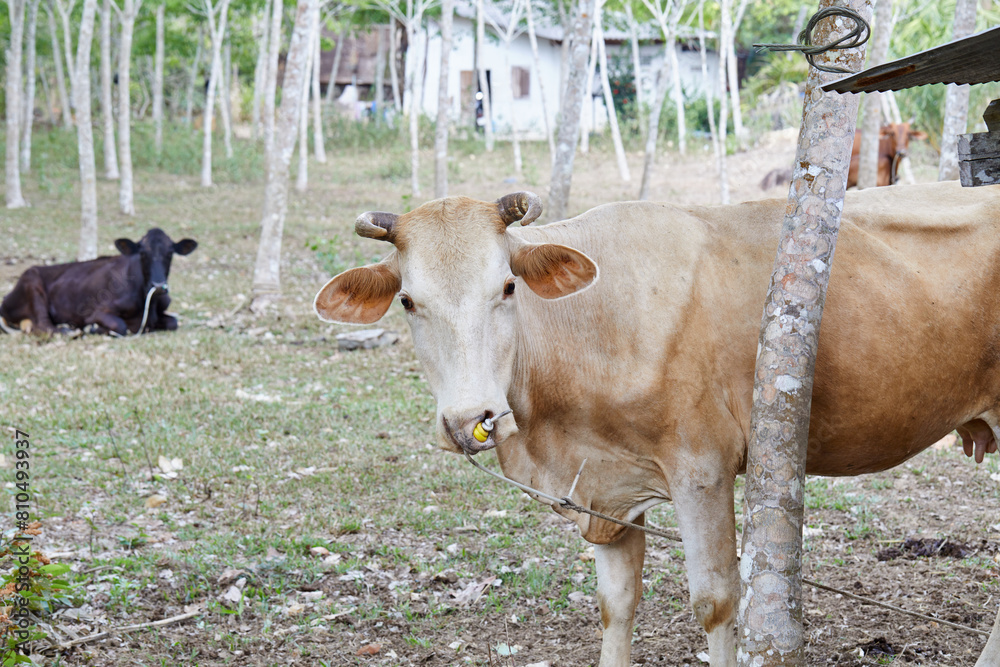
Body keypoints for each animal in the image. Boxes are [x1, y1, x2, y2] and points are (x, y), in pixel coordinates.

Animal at [0, 230, 197, 336]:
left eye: (170, 253)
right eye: (142, 253)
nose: (157, 286)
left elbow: (173, 322)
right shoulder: (97, 311)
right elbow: (120, 326)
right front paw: (93, 328)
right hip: (32, 282)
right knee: (44, 325)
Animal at [314, 180, 1000, 664]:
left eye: (507, 286)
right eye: (408, 300)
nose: (472, 418)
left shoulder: (703, 468)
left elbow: (716, 601)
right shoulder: (608, 490)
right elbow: (616, 606)